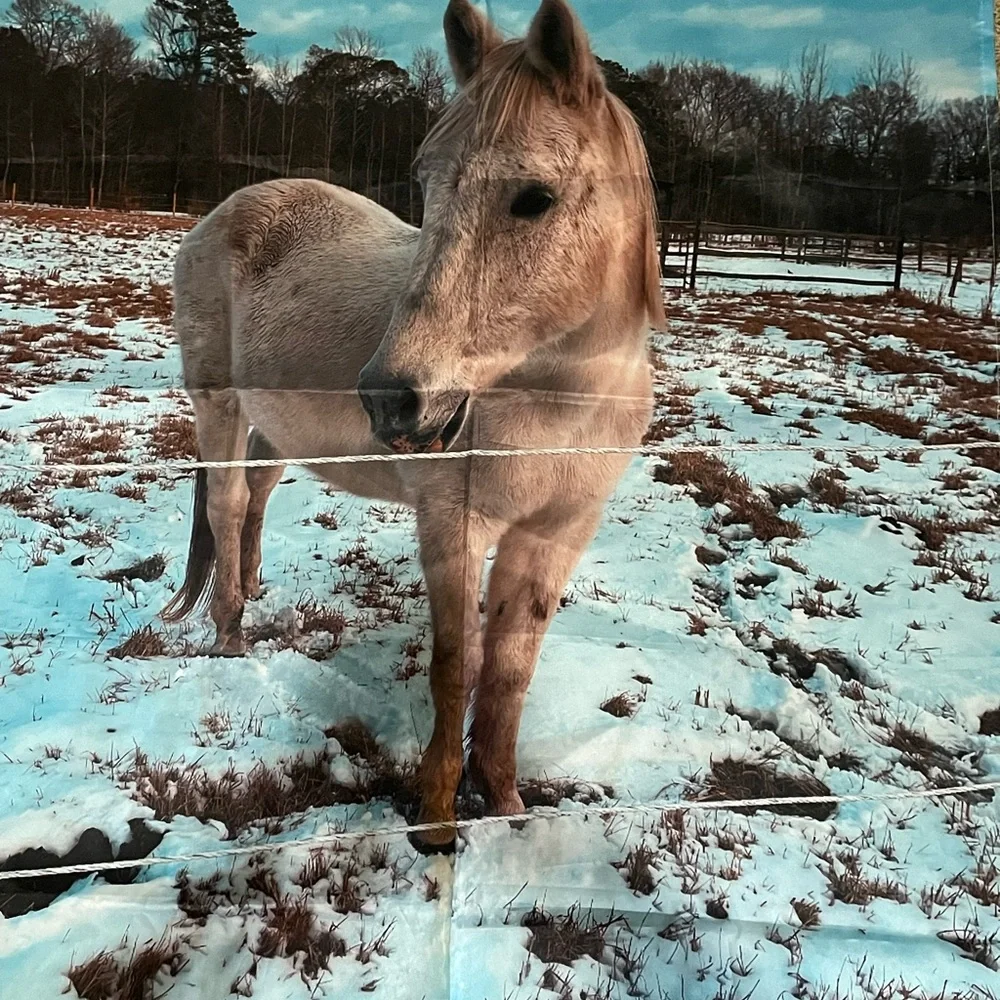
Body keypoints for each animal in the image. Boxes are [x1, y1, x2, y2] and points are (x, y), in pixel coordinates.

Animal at [161, 0, 664, 852]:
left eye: (535, 197)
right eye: (425, 183)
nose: (391, 399)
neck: (559, 402)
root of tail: (222, 215)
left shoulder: (556, 535)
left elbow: (510, 673)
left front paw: (506, 803)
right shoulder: (454, 523)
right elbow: (457, 666)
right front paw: (435, 818)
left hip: (272, 427)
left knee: (255, 499)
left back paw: (254, 591)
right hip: (219, 405)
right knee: (226, 506)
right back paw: (230, 634)